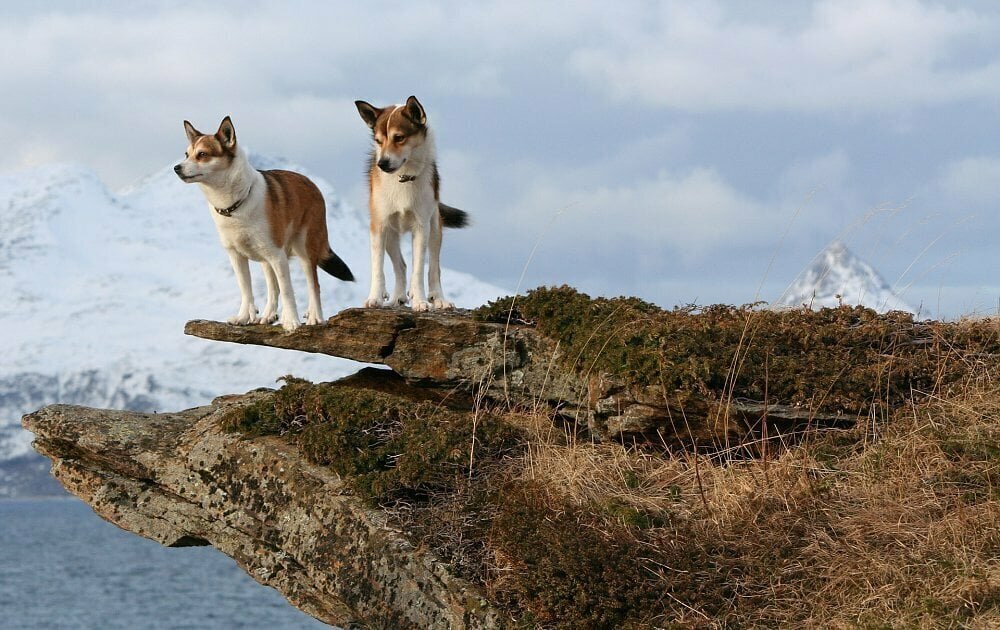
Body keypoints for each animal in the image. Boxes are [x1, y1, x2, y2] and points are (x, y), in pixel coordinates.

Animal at [174, 117, 354, 330]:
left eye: (202, 154)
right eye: (186, 154)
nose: (177, 168)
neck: (235, 205)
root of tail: (312, 184)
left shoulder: (277, 255)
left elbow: (287, 290)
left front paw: (291, 321)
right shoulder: (236, 256)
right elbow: (246, 289)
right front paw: (243, 317)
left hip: (304, 249)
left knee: (313, 285)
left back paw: (315, 316)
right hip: (265, 258)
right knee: (272, 287)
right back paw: (269, 315)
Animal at [356, 95, 468, 312]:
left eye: (399, 138)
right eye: (378, 141)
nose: (382, 164)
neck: (403, 177)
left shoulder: (421, 227)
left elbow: (419, 270)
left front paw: (420, 300)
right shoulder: (379, 226)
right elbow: (378, 267)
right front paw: (375, 297)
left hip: (435, 229)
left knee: (434, 268)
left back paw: (438, 299)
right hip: (391, 235)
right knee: (400, 265)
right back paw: (397, 297)